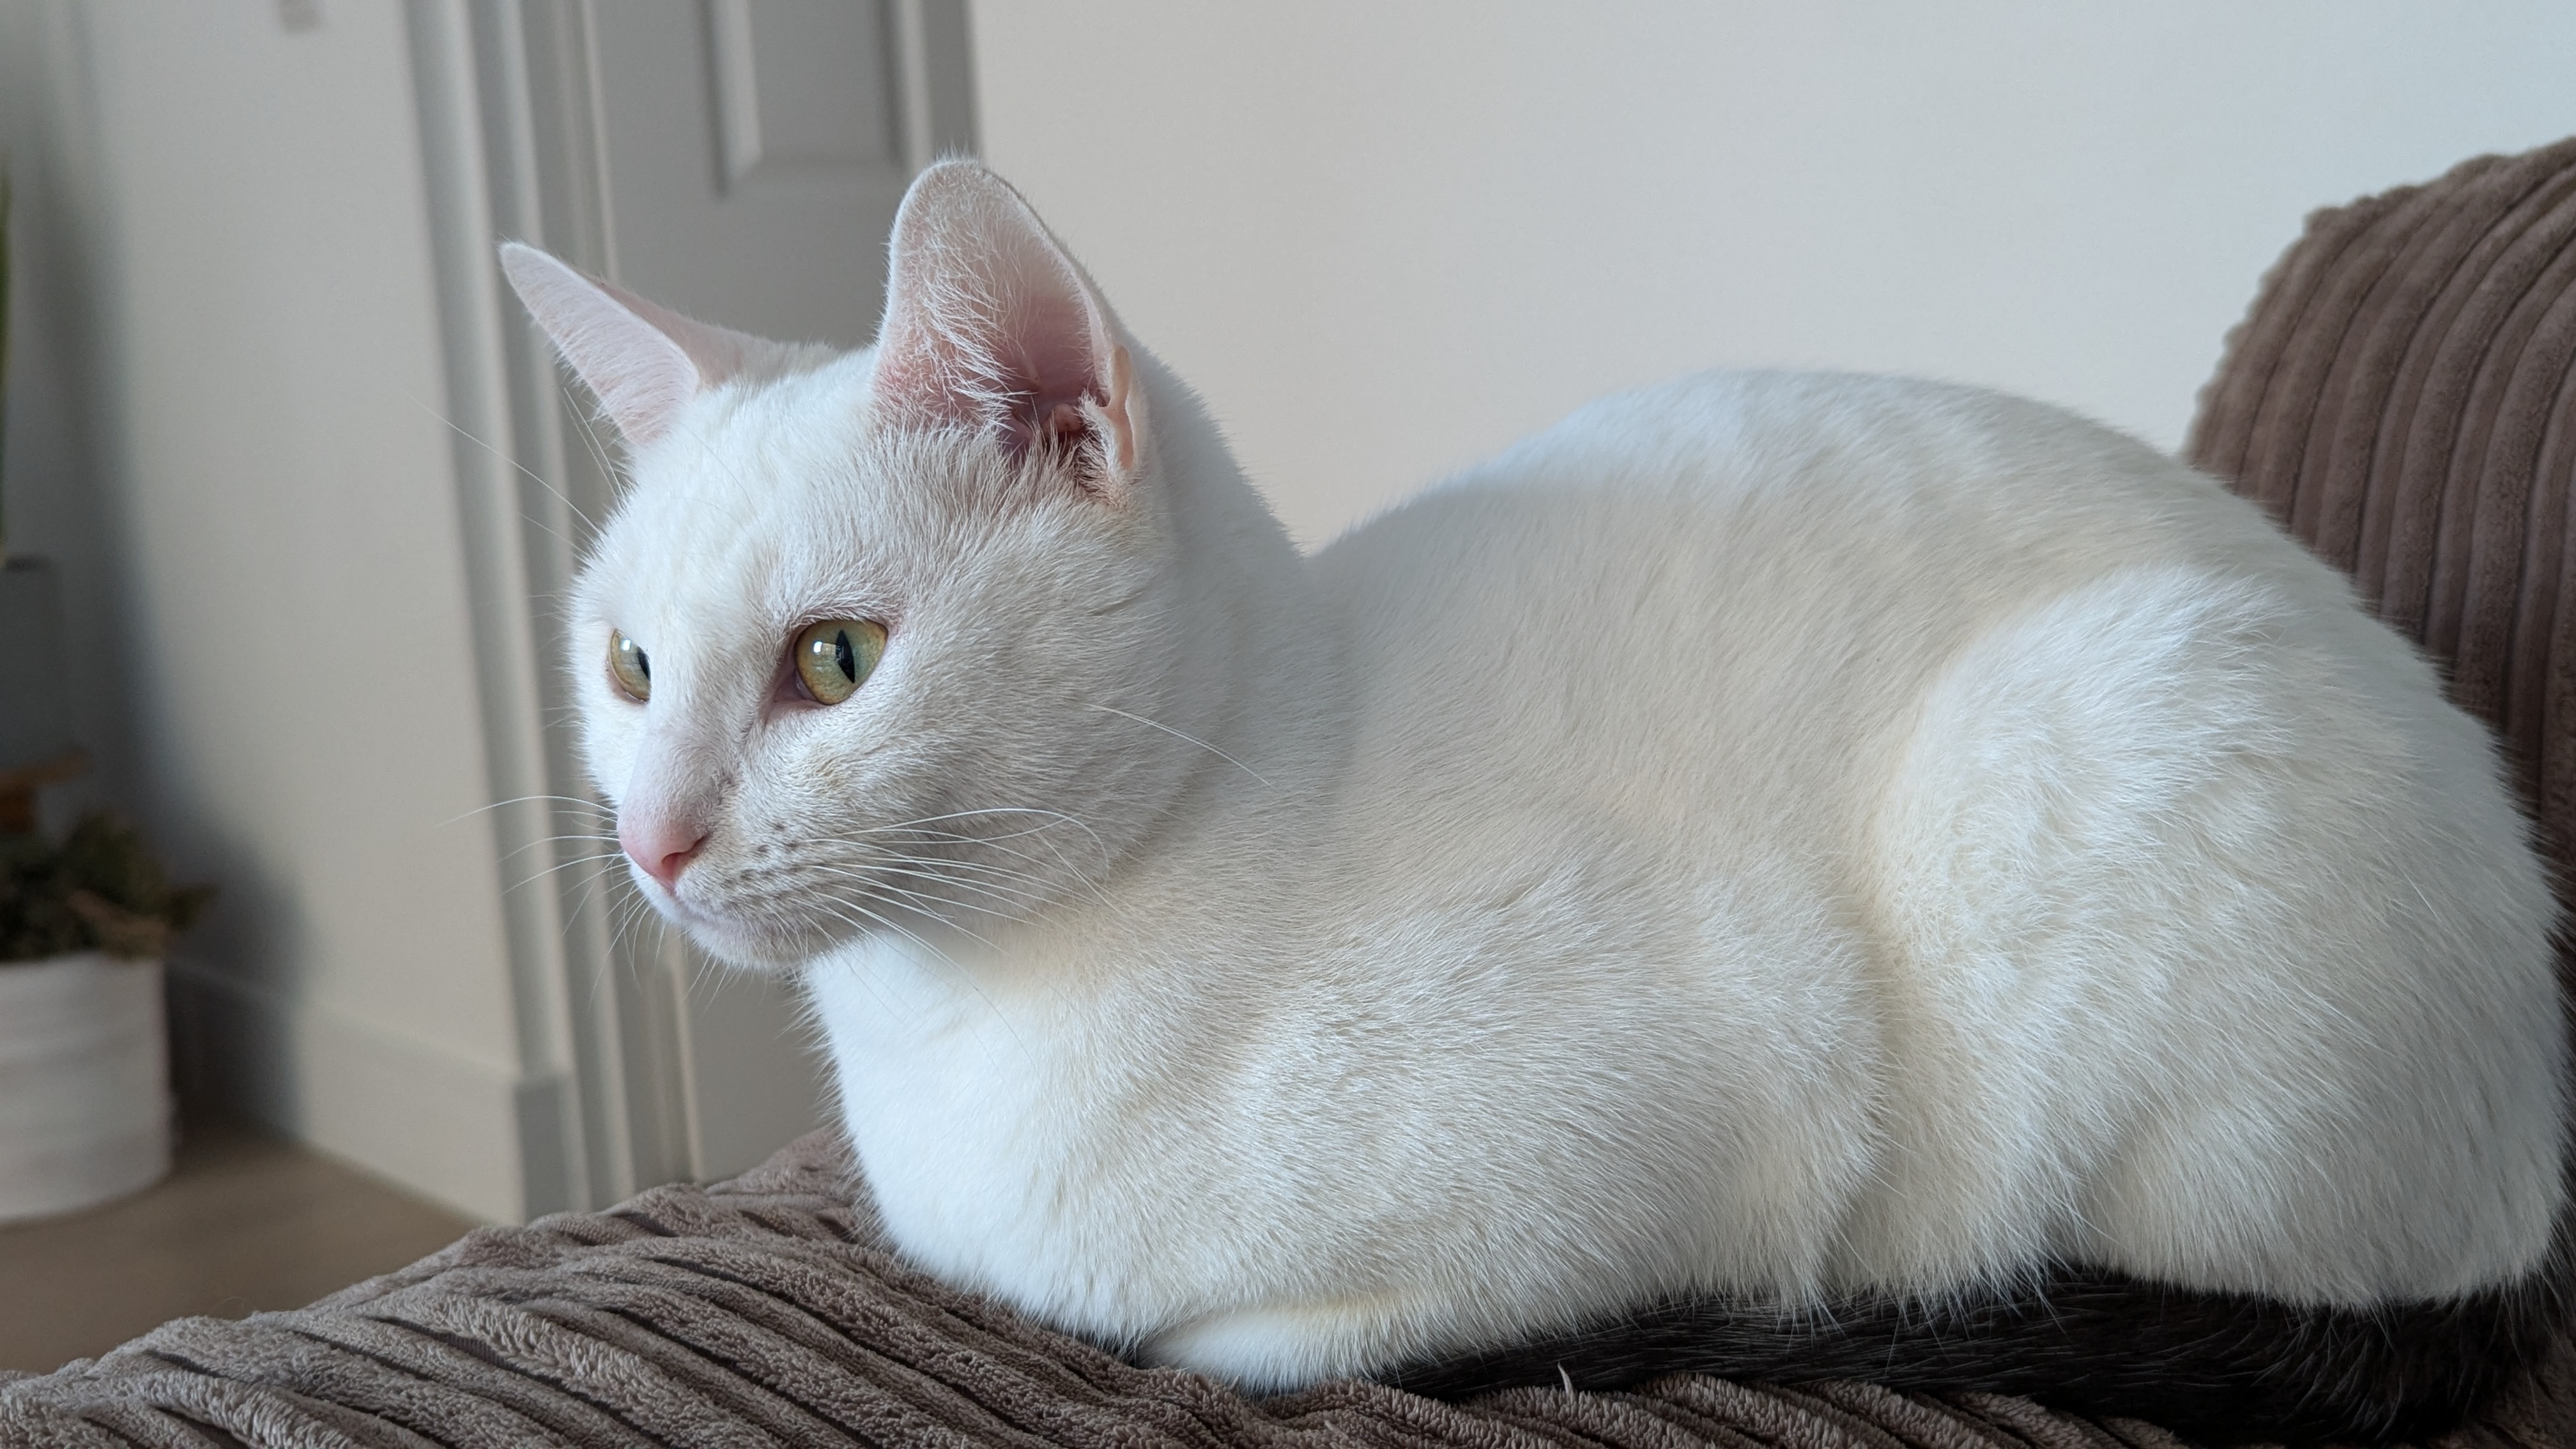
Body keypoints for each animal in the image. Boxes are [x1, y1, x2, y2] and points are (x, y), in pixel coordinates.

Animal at [497, 160, 2555, 1433]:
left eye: (836, 661)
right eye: (628, 668)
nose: (653, 839)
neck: (953, 1032)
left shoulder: (1723, 1120)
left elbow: (1274, 1339)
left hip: (2095, 752)